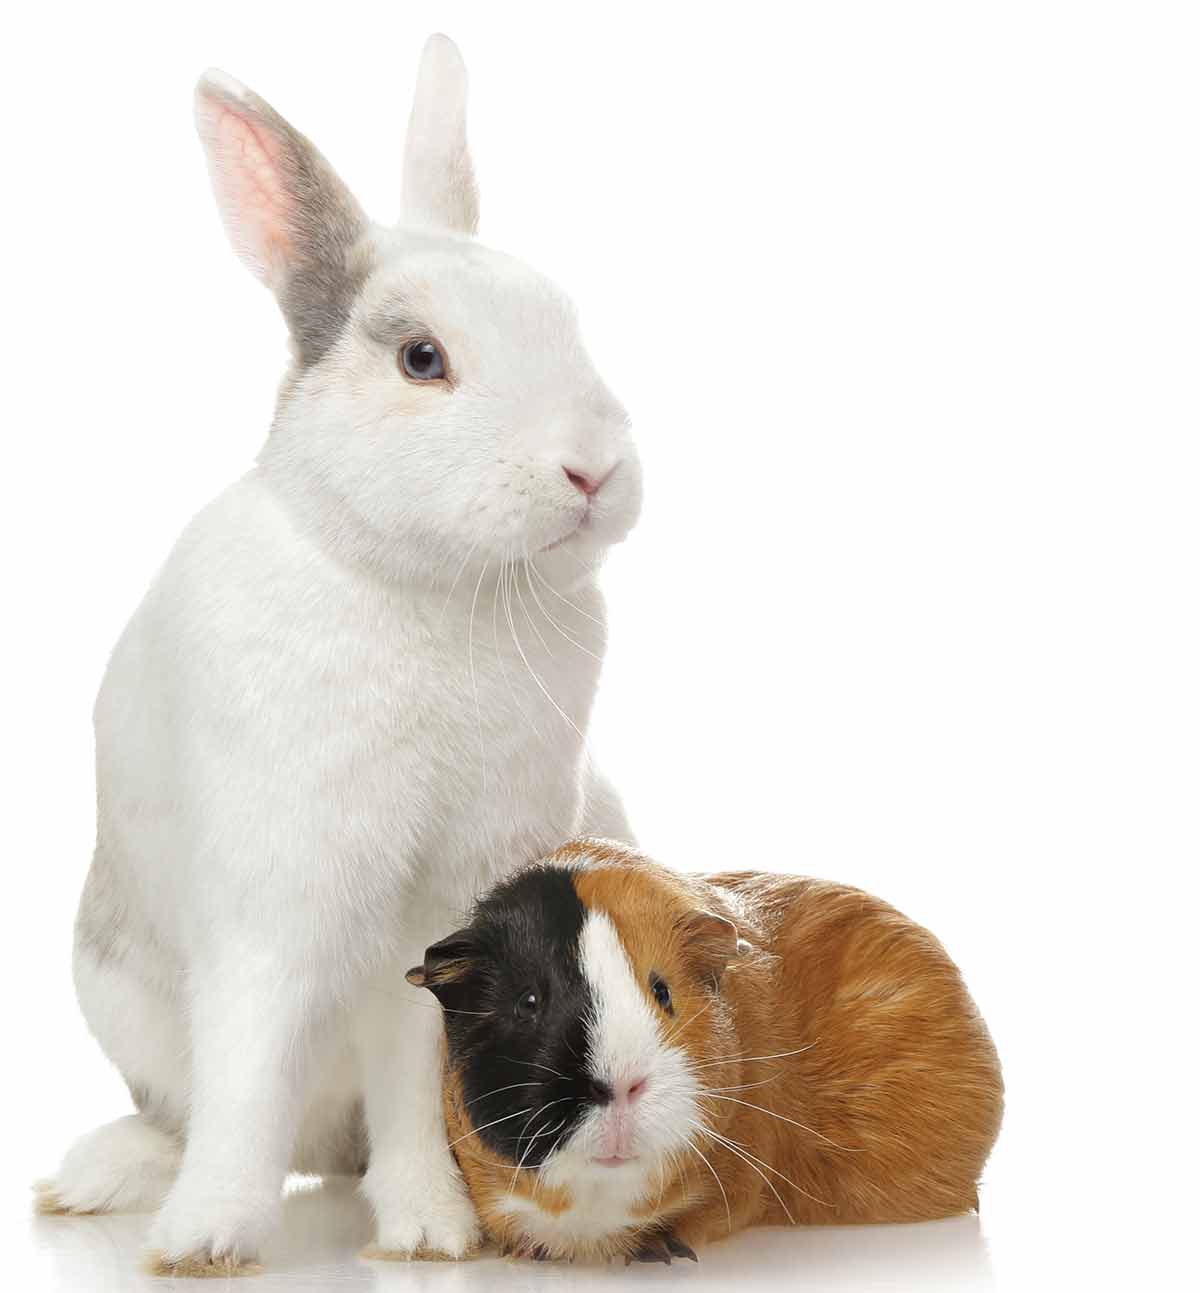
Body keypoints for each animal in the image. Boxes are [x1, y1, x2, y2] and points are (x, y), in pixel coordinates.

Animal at [35, 35, 636, 1277]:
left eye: (566, 323)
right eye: (422, 358)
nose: (594, 468)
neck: (430, 593)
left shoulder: (443, 913)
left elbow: (413, 1075)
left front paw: (429, 1232)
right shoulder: (277, 890)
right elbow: (249, 1061)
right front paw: (206, 1241)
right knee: (188, 1109)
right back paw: (101, 1177)